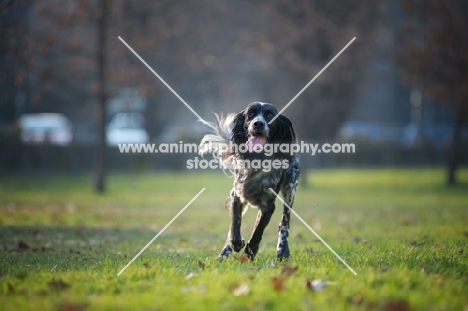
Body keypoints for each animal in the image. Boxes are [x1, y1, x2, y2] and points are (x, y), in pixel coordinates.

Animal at [197, 102, 300, 260]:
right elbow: (235, 224)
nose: (258, 123)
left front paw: (249, 253)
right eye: (250, 113)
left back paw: (282, 250)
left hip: (290, 188)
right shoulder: (237, 195)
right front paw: (236, 244)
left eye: (270, 114)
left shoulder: (268, 205)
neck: (257, 159)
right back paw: (225, 253)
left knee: (285, 222)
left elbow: (258, 231)